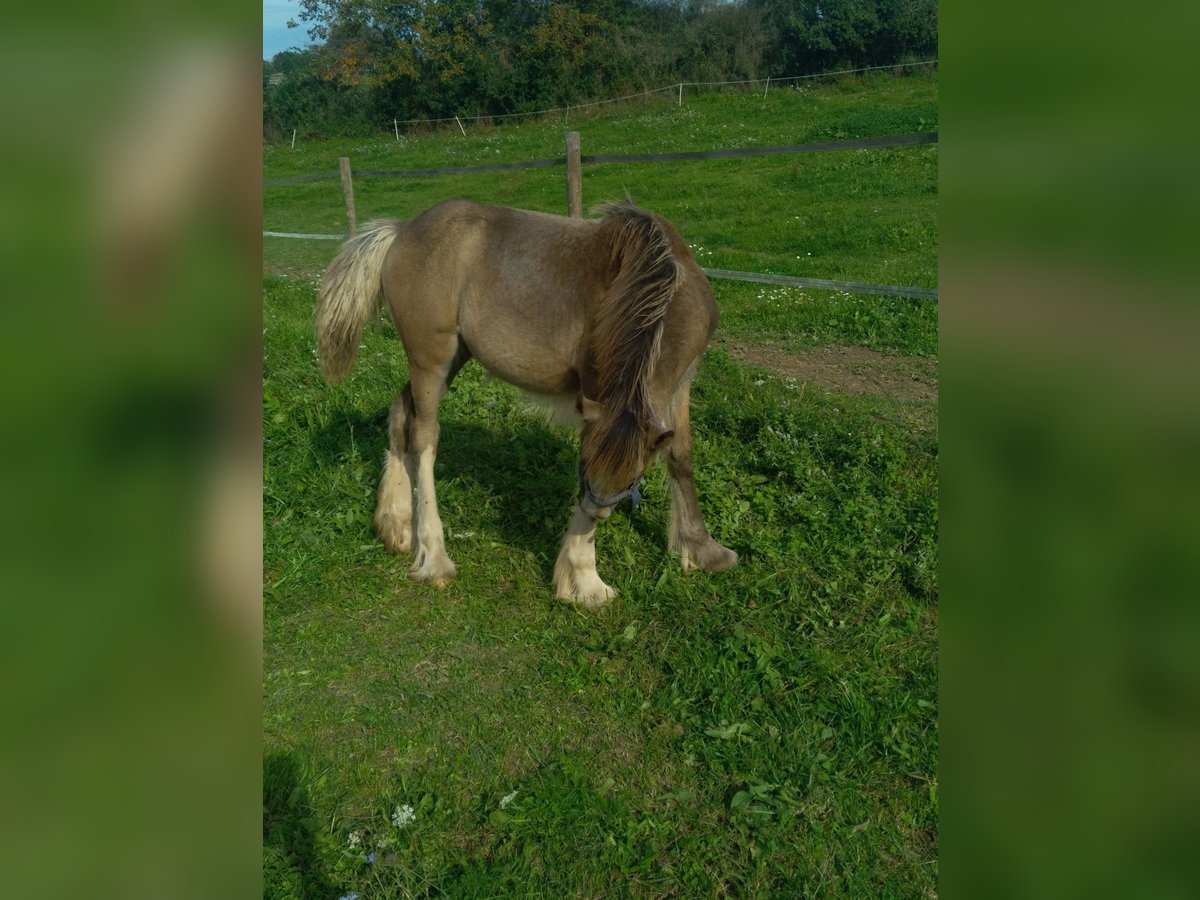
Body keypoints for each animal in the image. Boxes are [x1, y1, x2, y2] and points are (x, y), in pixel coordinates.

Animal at [314, 196, 734, 607]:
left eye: (634, 478)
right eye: (583, 467)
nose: (598, 512)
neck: (656, 289)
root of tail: (403, 230)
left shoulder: (679, 384)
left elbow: (681, 457)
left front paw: (701, 547)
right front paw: (585, 580)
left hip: (451, 359)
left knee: (401, 414)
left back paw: (396, 524)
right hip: (431, 360)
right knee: (425, 439)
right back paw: (434, 557)